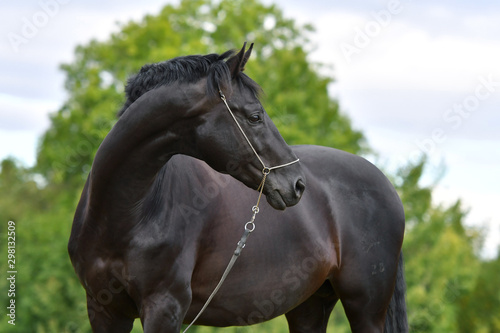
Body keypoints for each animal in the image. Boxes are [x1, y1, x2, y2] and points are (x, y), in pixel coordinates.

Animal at [69, 43, 406, 330]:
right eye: (255, 116)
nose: (297, 184)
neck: (128, 214)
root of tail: (386, 183)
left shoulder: (164, 307)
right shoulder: (104, 310)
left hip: (365, 309)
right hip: (309, 306)